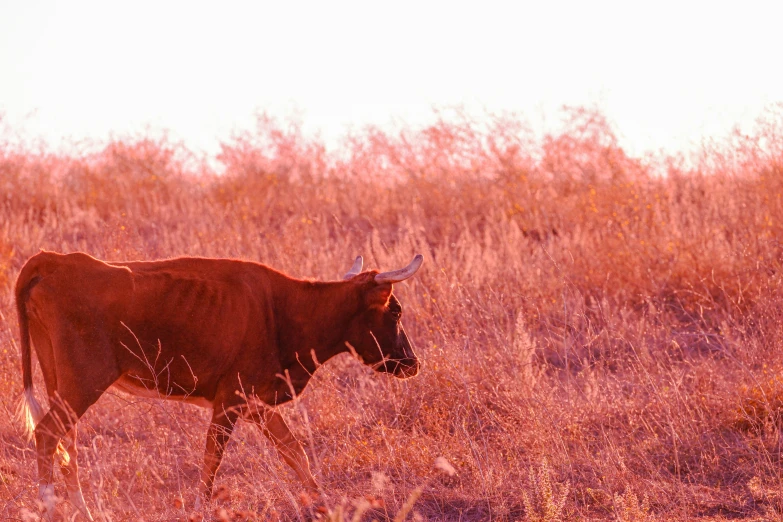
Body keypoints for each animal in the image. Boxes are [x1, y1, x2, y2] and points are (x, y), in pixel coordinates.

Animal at [15, 250, 422, 516]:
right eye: (396, 310)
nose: (413, 363)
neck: (285, 309)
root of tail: (54, 259)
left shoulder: (256, 403)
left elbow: (295, 452)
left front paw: (325, 505)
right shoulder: (231, 399)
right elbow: (212, 460)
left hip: (60, 381)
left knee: (66, 443)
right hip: (84, 382)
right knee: (49, 434)